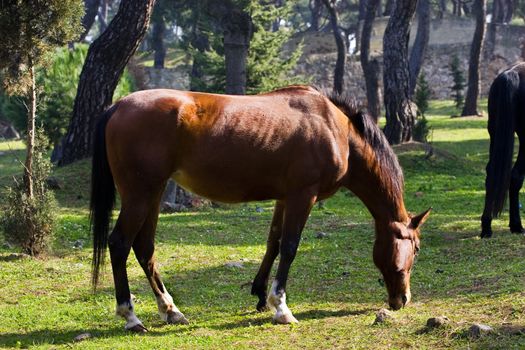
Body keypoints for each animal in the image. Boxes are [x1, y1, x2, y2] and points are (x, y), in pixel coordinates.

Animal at [91, 85, 430, 330]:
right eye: (415, 249)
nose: (403, 298)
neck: (336, 129)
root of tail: (118, 106)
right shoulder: (302, 196)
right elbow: (290, 246)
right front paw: (281, 306)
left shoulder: (285, 197)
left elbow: (274, 242)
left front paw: (260, 294)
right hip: (140, 194)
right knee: (119, 244)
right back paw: (131, 317)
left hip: (154, 193)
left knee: (144, 248)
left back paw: (170, 310)